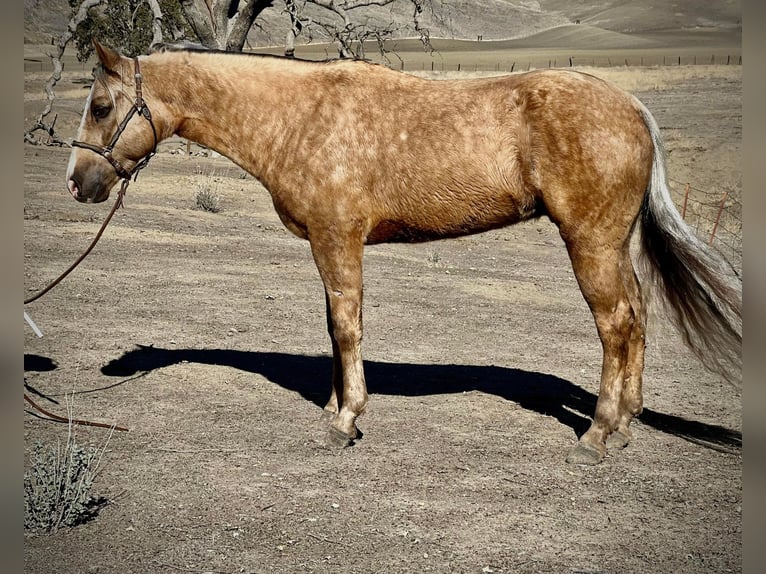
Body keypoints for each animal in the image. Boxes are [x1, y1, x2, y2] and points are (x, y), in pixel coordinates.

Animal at [69, 40, 740, 466]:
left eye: (101, 107)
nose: (78, 183)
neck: (300, 116)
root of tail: (632, 108)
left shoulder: (338, 240)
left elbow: (347, 326)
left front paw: (344, 423)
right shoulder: (330, 246)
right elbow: (335, 326)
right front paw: (334, 407)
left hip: (591, 244)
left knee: (616, 325)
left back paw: (597, 437)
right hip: (612, 245)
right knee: (638, 318)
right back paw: (625, 426)